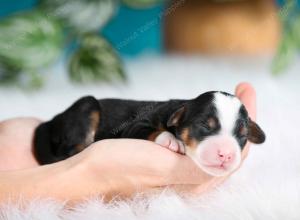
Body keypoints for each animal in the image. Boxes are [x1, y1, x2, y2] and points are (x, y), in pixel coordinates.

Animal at [34, 91, 266, 177]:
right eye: (204, 126)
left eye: (242, 135)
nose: (226, 155)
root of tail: (51, 120)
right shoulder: (134, 126)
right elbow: (151, 130)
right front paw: (171, 140)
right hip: (86, 105)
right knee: (71, 149)